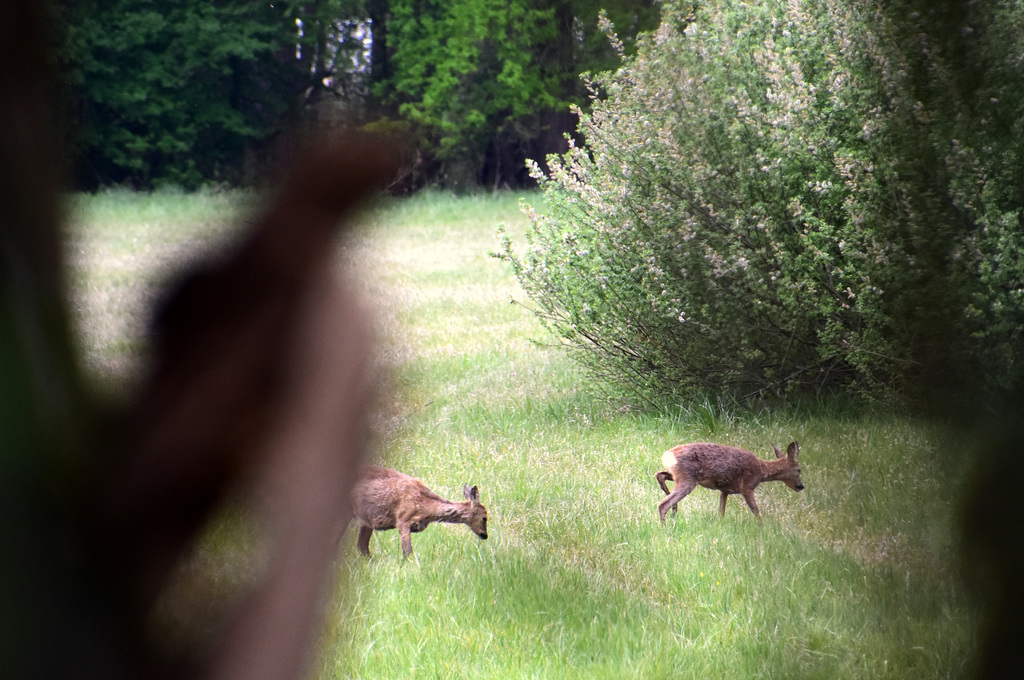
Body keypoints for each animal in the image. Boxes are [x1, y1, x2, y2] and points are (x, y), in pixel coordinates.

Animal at [352, 464, 487, 561]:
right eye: (485, 517)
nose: (485, 535)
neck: (425, 508)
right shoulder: (402, 520)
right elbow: (408, 553)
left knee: (362, 546)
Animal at [655, 440, 806, 520]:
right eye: (799, 470)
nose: (801, 486)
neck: (762, 470)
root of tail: (668, 455)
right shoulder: (747, 487)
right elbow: (756, 512)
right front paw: (764, 530)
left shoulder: (724, 490)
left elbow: (721, 512)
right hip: (688, 478)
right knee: (662, 504)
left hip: (678, 476)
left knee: (659, 475)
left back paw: (674, 509)